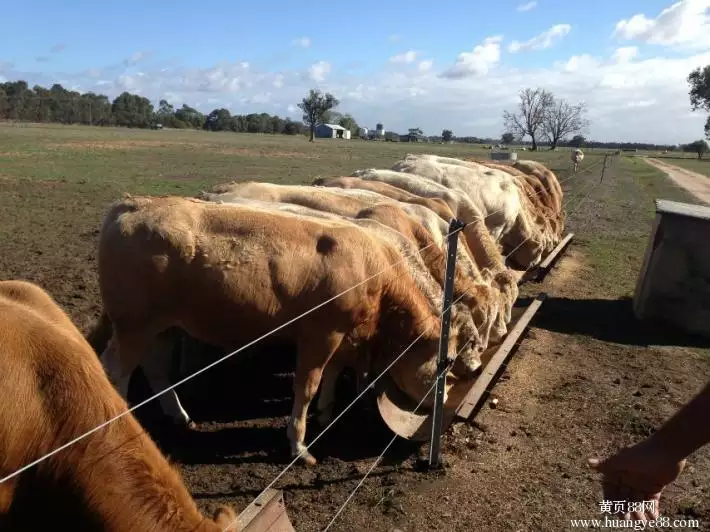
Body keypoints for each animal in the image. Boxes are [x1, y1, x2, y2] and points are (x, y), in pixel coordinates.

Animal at [93, 195, 472, 466]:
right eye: (447, 360)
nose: (440, 404)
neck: (376, 270)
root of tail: (133, 204)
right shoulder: (321, 334)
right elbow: (306, 386)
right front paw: (300, 445)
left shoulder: (343, 335)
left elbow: (334, 372)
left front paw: (327, 413)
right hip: (133, 324)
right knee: (116, 369)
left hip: (165, 325)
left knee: (155, 367)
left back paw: (179, 415)